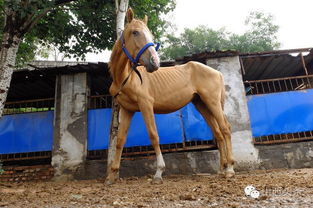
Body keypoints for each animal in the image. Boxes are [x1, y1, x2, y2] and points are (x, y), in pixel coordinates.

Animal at [106, 8, 233, 184]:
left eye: (150, 34)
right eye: (135, 32)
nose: (154, 62)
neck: (126, 77)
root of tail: (217, 72)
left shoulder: (146, 105)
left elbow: (154, 135)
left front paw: (158, 173)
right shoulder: (127, 110)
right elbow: (120, 141)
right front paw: (112, 175)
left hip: (212, 103)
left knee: (225, 129)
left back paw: (230, 169)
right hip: (202, 105)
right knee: (218, 133)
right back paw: (221, 169)